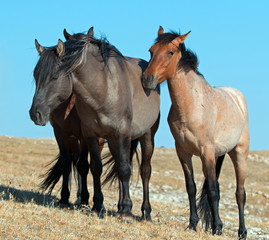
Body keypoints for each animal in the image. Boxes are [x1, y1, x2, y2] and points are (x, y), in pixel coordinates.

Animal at [29, 27, 159, 220]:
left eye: (54, 76)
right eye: (35, 75)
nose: (35, 113)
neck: (104, 89)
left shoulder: (120, 133)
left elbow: (124, 169)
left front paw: (126, 212)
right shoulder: (86, 134)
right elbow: (93, 167)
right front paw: (95, 205)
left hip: (146, 136)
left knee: (144, 171)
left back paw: (145, 213)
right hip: (111, 141)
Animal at [141, 25, 248, 239]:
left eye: (170, 52)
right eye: (151, 50)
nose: (147, 79)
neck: (192, 105)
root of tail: (237, 97)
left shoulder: (206, 152)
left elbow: (213, 191)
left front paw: (218, 228)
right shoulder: (183, 152)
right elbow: (191, 188)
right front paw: (193, 224)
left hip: (239, 154)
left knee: (240, 194)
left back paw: (242, 232)